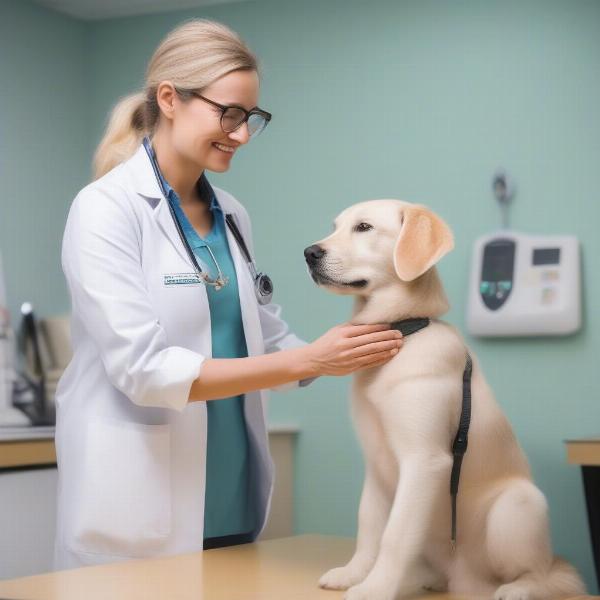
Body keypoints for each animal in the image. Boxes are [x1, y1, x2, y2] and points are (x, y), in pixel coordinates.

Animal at [304, 202, 584, 600]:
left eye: (364, 227)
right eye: (335, 227)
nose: (309, 253)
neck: (404, 333)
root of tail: (464, 578)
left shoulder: (424, 460)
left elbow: (393, 536)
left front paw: (374, 588)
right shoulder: (375, 463)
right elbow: (369, 527)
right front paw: (353, 574)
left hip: (519, 504)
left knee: (546, 573)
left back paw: (517, 589)